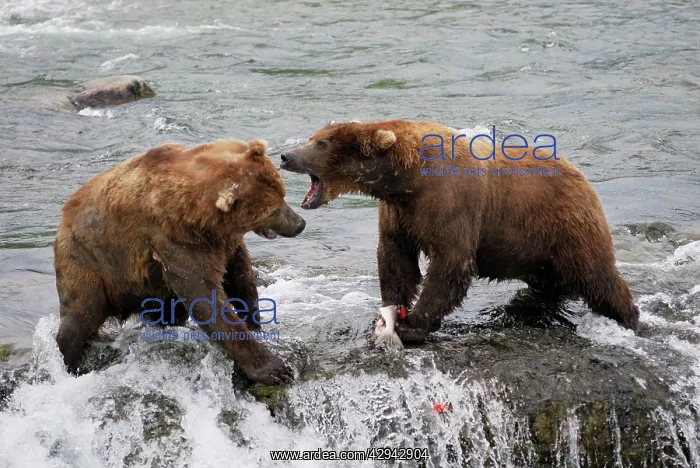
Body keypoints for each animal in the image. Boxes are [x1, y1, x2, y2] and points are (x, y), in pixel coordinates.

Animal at [54, 139, 306, 384]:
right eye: (272, 211)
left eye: (282, 194)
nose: (300, 223)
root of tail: (63, 216)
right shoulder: (177, 238)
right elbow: (205, 296)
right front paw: (275, 369)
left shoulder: (225, 241)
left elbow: (240, 276)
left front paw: (256, 323)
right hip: (88, 259)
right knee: (81, 314)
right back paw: (70, 362)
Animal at [279, 119, 640, 343]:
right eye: (313, 138)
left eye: (321, 143)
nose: (285, 155)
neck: (405, 179)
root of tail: (582, 176)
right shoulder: (399, 213)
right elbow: (395, 257)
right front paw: (388, 311)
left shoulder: (451, 202)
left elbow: (451, 263)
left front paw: (413, 325)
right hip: (537, 248)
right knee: (551, 281)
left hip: (565, 224)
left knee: (597, 276)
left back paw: (630, 319)